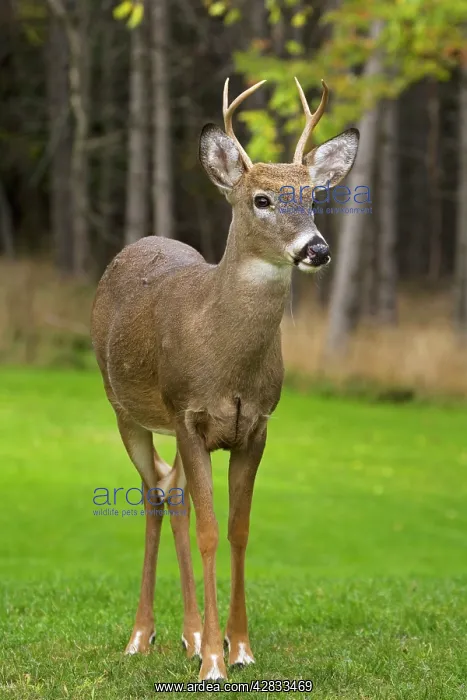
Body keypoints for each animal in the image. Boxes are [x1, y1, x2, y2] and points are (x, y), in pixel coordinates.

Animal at [91, 77, 359, 681]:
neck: (227, 357)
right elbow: (211, 532)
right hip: (126, 408)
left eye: (312, 198)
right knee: (152, 493)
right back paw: (141, 636)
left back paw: (187, 633)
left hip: (172, 428)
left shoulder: (255, 426)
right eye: (261, 200)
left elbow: (238, 530)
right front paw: (214, 662)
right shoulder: (189, 411)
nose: (317, 249)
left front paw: (239, 649)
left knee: (172, 492)